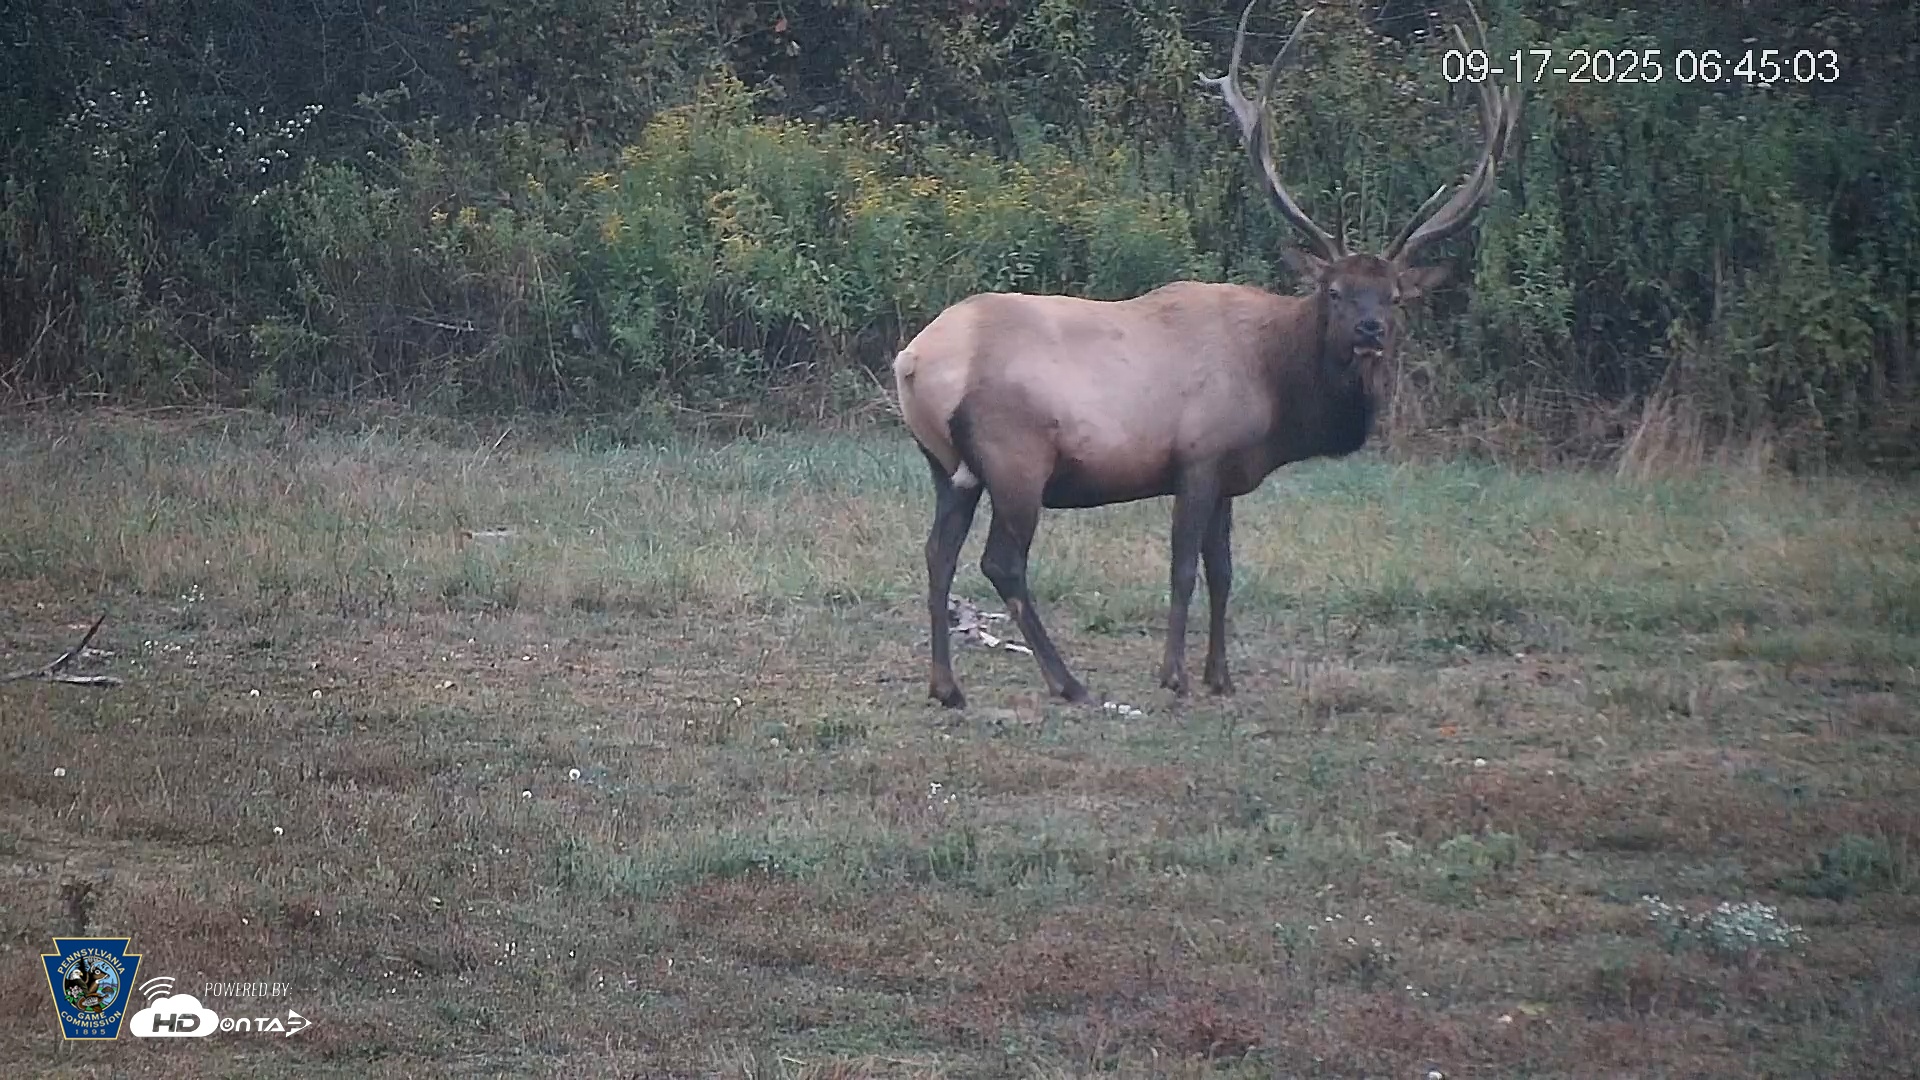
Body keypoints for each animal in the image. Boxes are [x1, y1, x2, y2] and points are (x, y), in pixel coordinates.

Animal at [892, 1, 1521, 709]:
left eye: (1395, 297)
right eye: (1332, 290)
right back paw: (1067, 681)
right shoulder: (1197, 456)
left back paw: (947, 686)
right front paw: (1175, 675)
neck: (1277, 391)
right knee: (1001, 561)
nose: (1369, 331)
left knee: (936, 553)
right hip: (1015, 455)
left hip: (947, 466)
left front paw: (1222, 675)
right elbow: (1184, 569)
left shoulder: (1228, 472)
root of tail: (912, 362)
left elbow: (1223, 571)